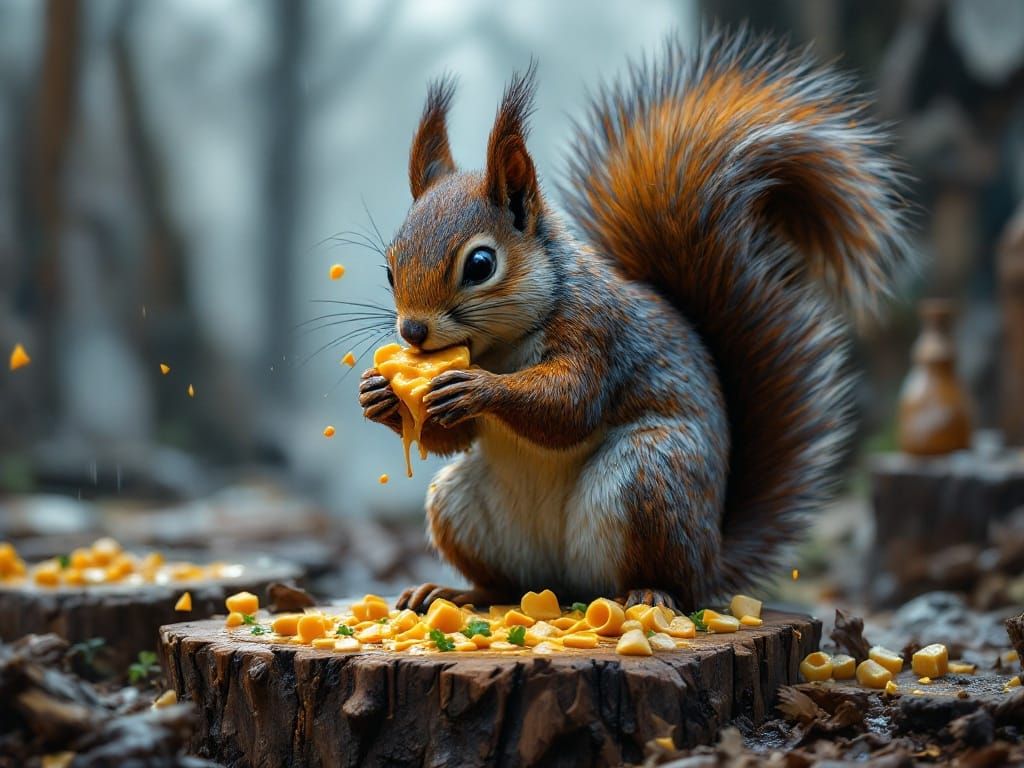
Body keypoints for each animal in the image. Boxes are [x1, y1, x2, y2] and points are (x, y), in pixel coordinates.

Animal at [359, 28, 911, 612]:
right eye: (390, 269)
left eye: (481, 264)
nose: (412, 332)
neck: (500, 345)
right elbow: (453, 438)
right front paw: (378, 395)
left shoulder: (598, 331)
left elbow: (569, 404)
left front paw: (478, 387)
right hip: (460, 503)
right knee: (505, 582)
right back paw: (459, 592)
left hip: (648, 477)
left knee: (666, 578)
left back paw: (649, 593)